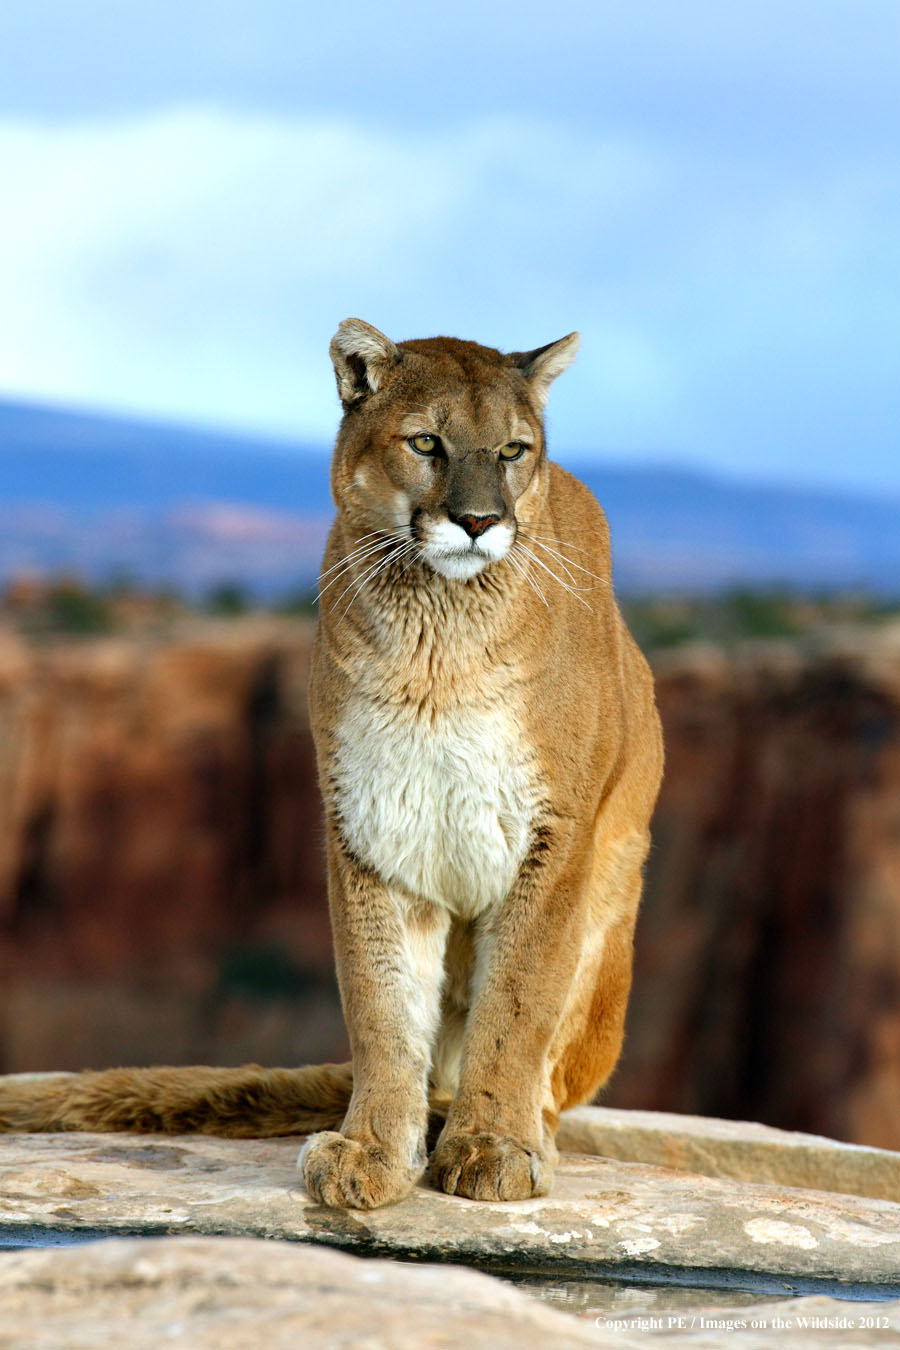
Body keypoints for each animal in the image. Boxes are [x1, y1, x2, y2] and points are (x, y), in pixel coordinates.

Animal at [0, 321, 661, 1209]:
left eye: (514, 450)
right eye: (426, 442)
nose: (479, 520)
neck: (440, 648)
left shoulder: (553, 836)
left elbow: (519, 998)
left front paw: (491, 1144)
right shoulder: (373, 825)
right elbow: (382, 1005)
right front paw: (374, 1150)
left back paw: (496, 1125)